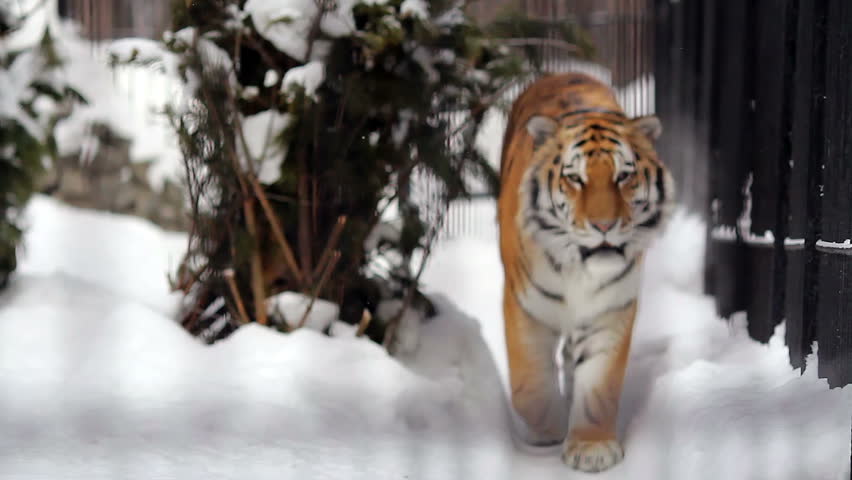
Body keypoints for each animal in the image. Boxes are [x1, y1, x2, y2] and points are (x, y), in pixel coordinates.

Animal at [497, 72, 674, 473]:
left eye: (624, 177)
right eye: (575, 179)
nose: (604, 226)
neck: (579, 269)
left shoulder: (610, 311)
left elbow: (599, 385)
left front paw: (592, 448)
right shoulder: (525, 307)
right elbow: (529, 384)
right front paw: (548, 430)